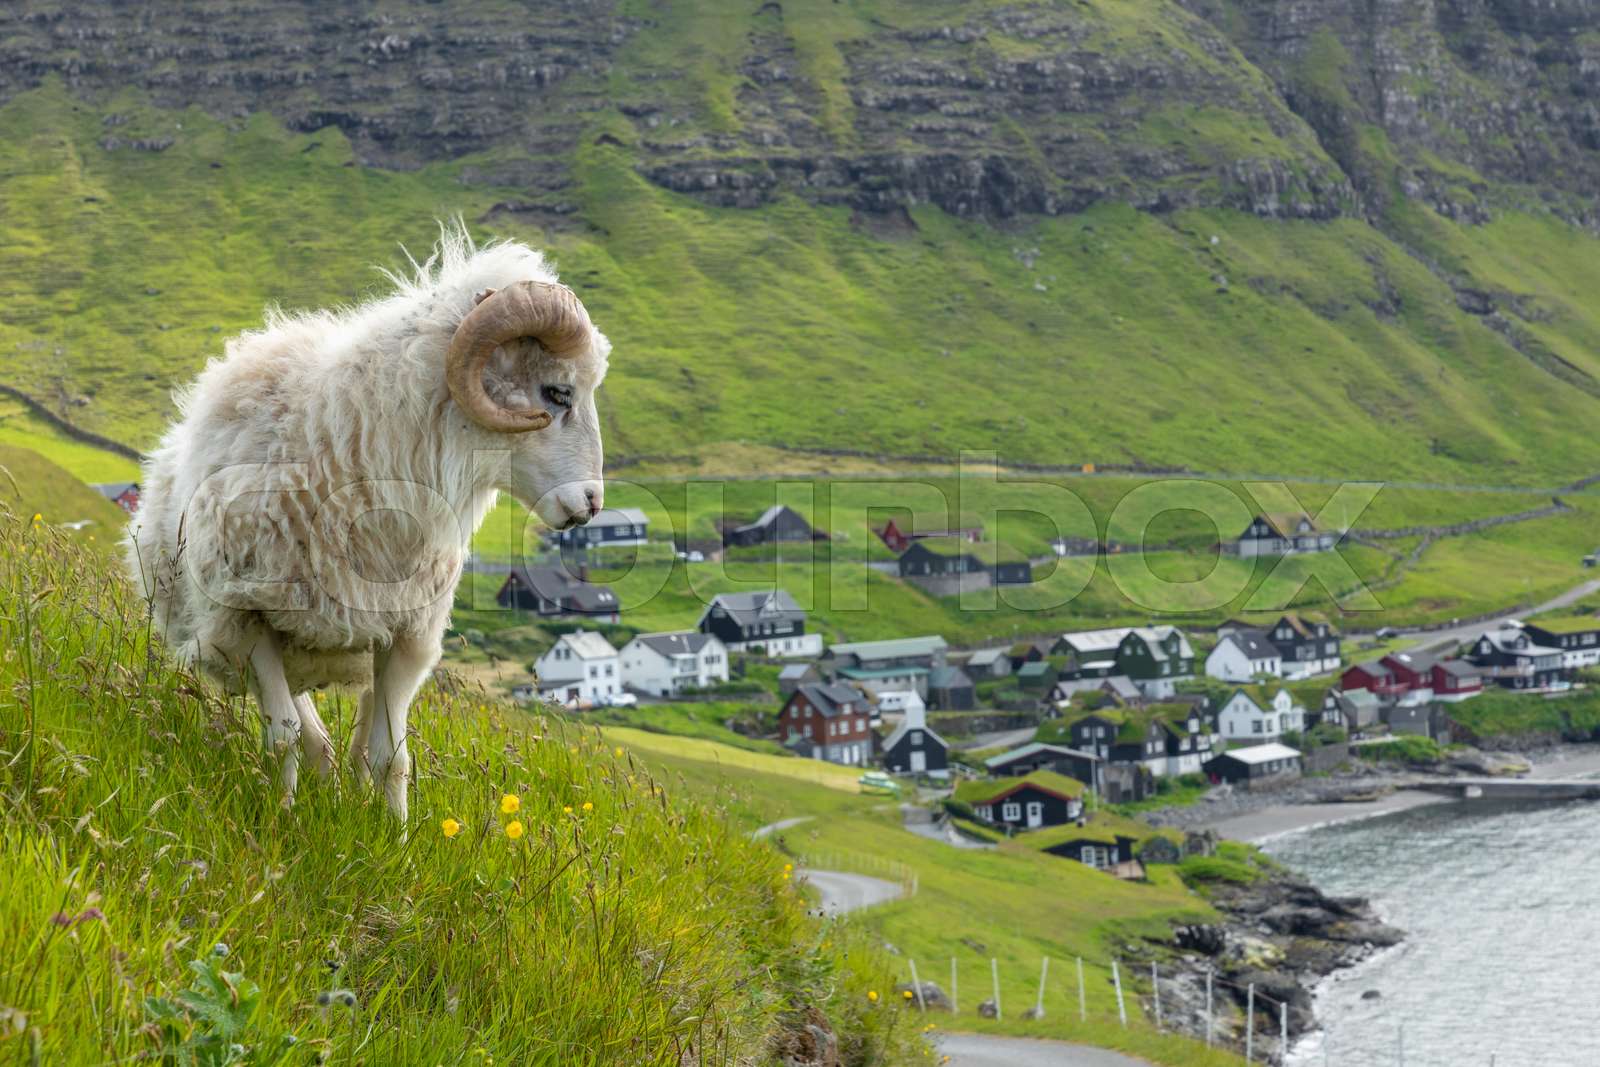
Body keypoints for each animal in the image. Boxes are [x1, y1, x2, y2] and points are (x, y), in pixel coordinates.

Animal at [124, 224, 611, 821]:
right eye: (557, 392)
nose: (591, 503)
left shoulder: (405, 635)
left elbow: (389, 756)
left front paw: (395, 836)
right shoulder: (247, 619)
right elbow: (283, 739)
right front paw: (280, 822)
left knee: (340, 744)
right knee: (307, 735)